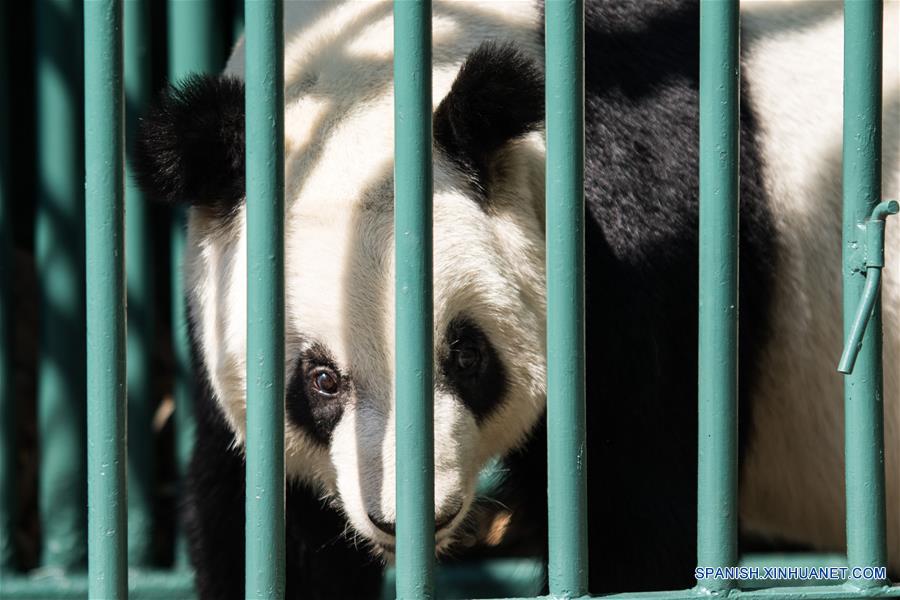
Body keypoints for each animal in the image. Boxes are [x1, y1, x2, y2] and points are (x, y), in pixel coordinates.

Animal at [134, 0, 900, 598]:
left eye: (465, 353)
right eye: (321, 380)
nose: (405, 517)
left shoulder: (644, 238)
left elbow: (638, 509)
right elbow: (266, 522)